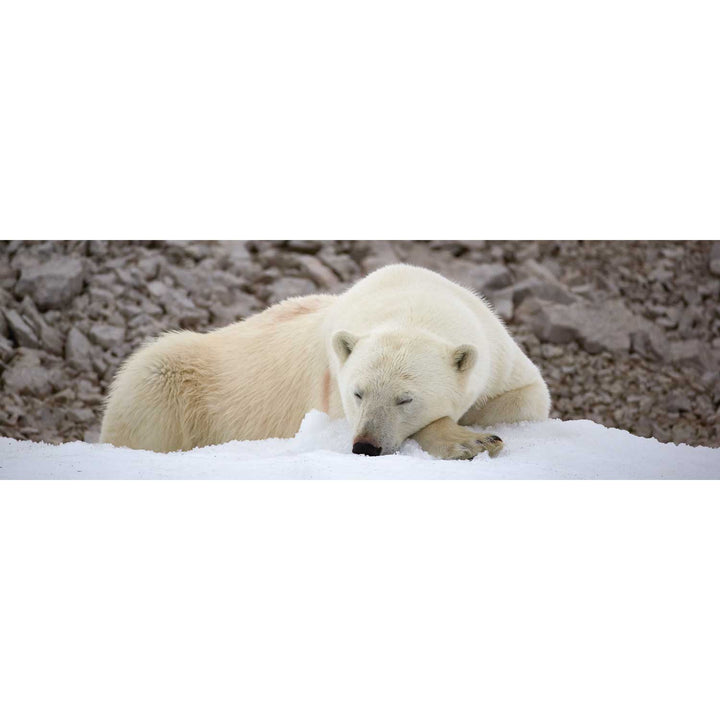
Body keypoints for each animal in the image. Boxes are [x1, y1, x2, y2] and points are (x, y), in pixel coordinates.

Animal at [100, 264, 552, 462]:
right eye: (357, 393)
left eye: (406, 399)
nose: (365, 446)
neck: (412, 301)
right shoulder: (330, 383)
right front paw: (470, 442)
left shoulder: (497, 351)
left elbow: (528, 396)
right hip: (172, 378)